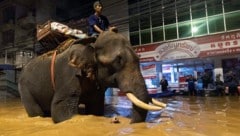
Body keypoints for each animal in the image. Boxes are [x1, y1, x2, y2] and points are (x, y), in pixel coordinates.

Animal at [18, 30, 166, 123]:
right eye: (118, 61)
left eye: (138, 59)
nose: (129, 123)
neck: (93, 42)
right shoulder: (68, 75)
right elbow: (60, 111)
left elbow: (96, 109)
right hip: (24, 89)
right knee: (36, 112)